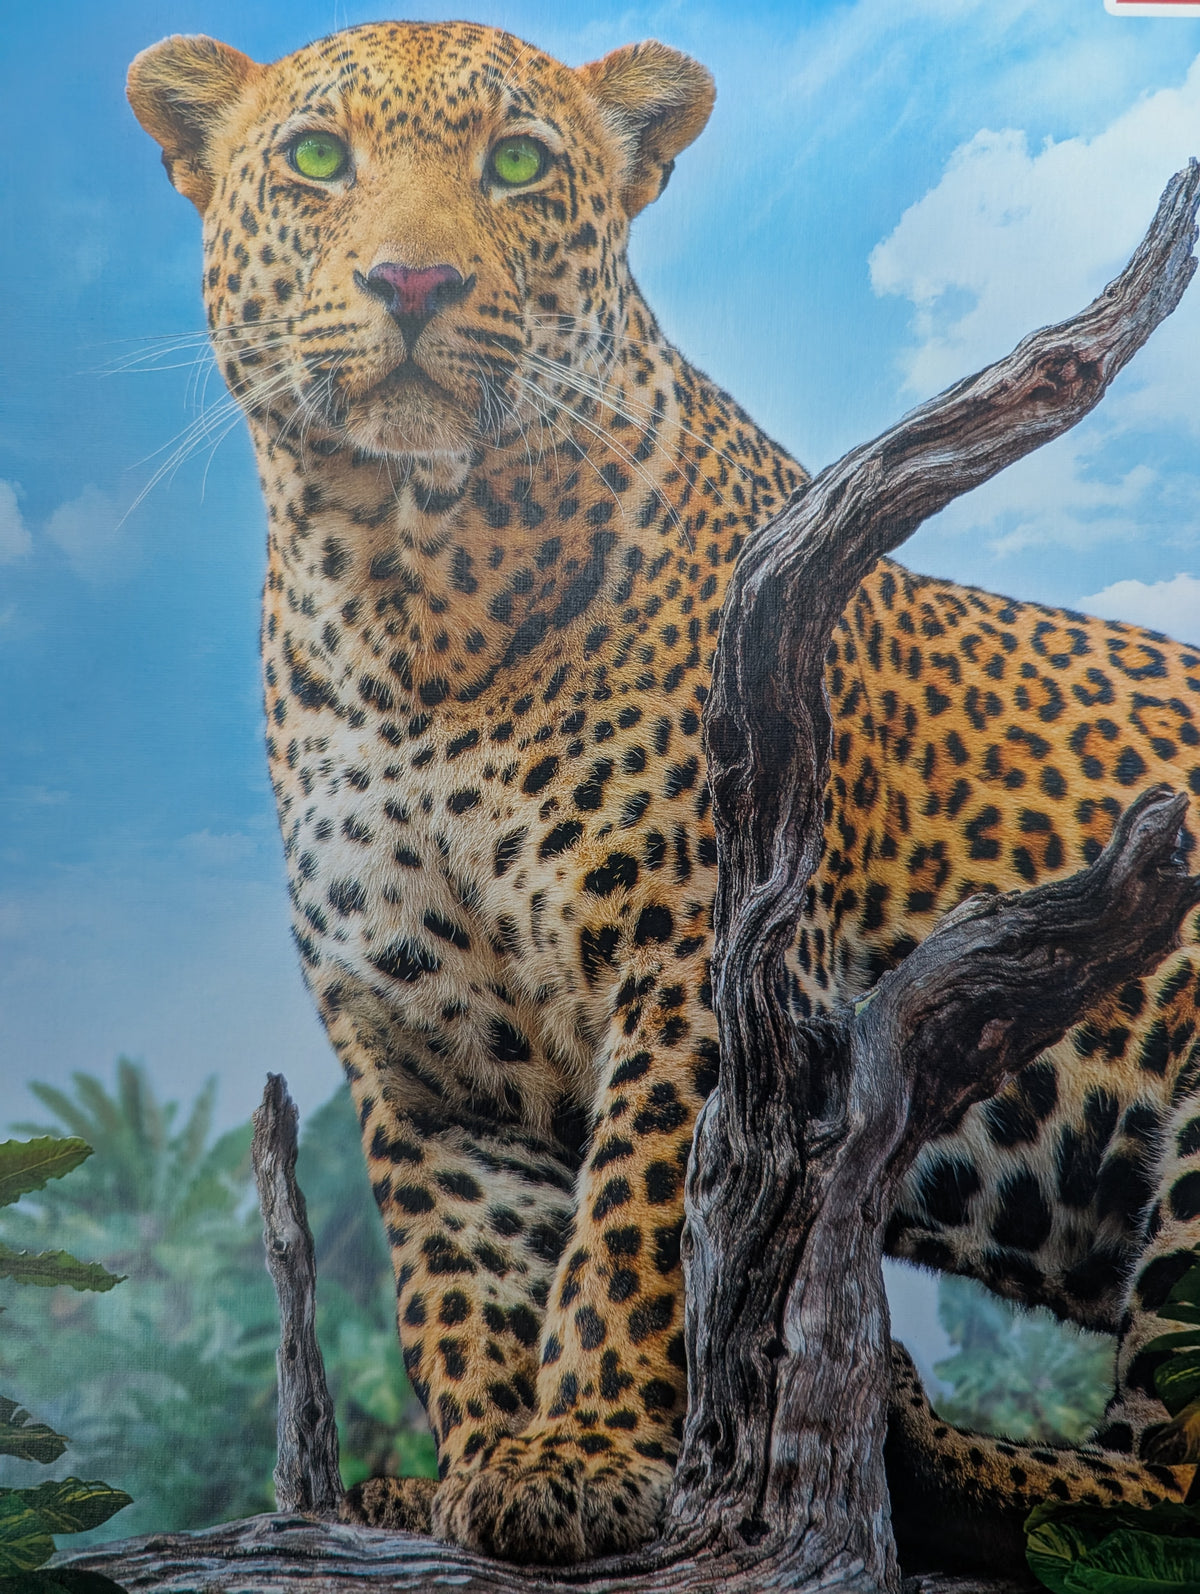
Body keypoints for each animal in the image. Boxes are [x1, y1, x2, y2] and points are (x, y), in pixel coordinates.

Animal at [127, 19, 1200, 1573]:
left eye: (518, 164)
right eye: (318, 157)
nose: (410, 281)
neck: (404, 594)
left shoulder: (705, 964)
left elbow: (639, 1227)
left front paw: (583, 1449)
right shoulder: (424, 1050)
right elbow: (462, 1281)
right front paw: (479, 1465)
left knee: (1168, 1476)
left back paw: (927, 1444)